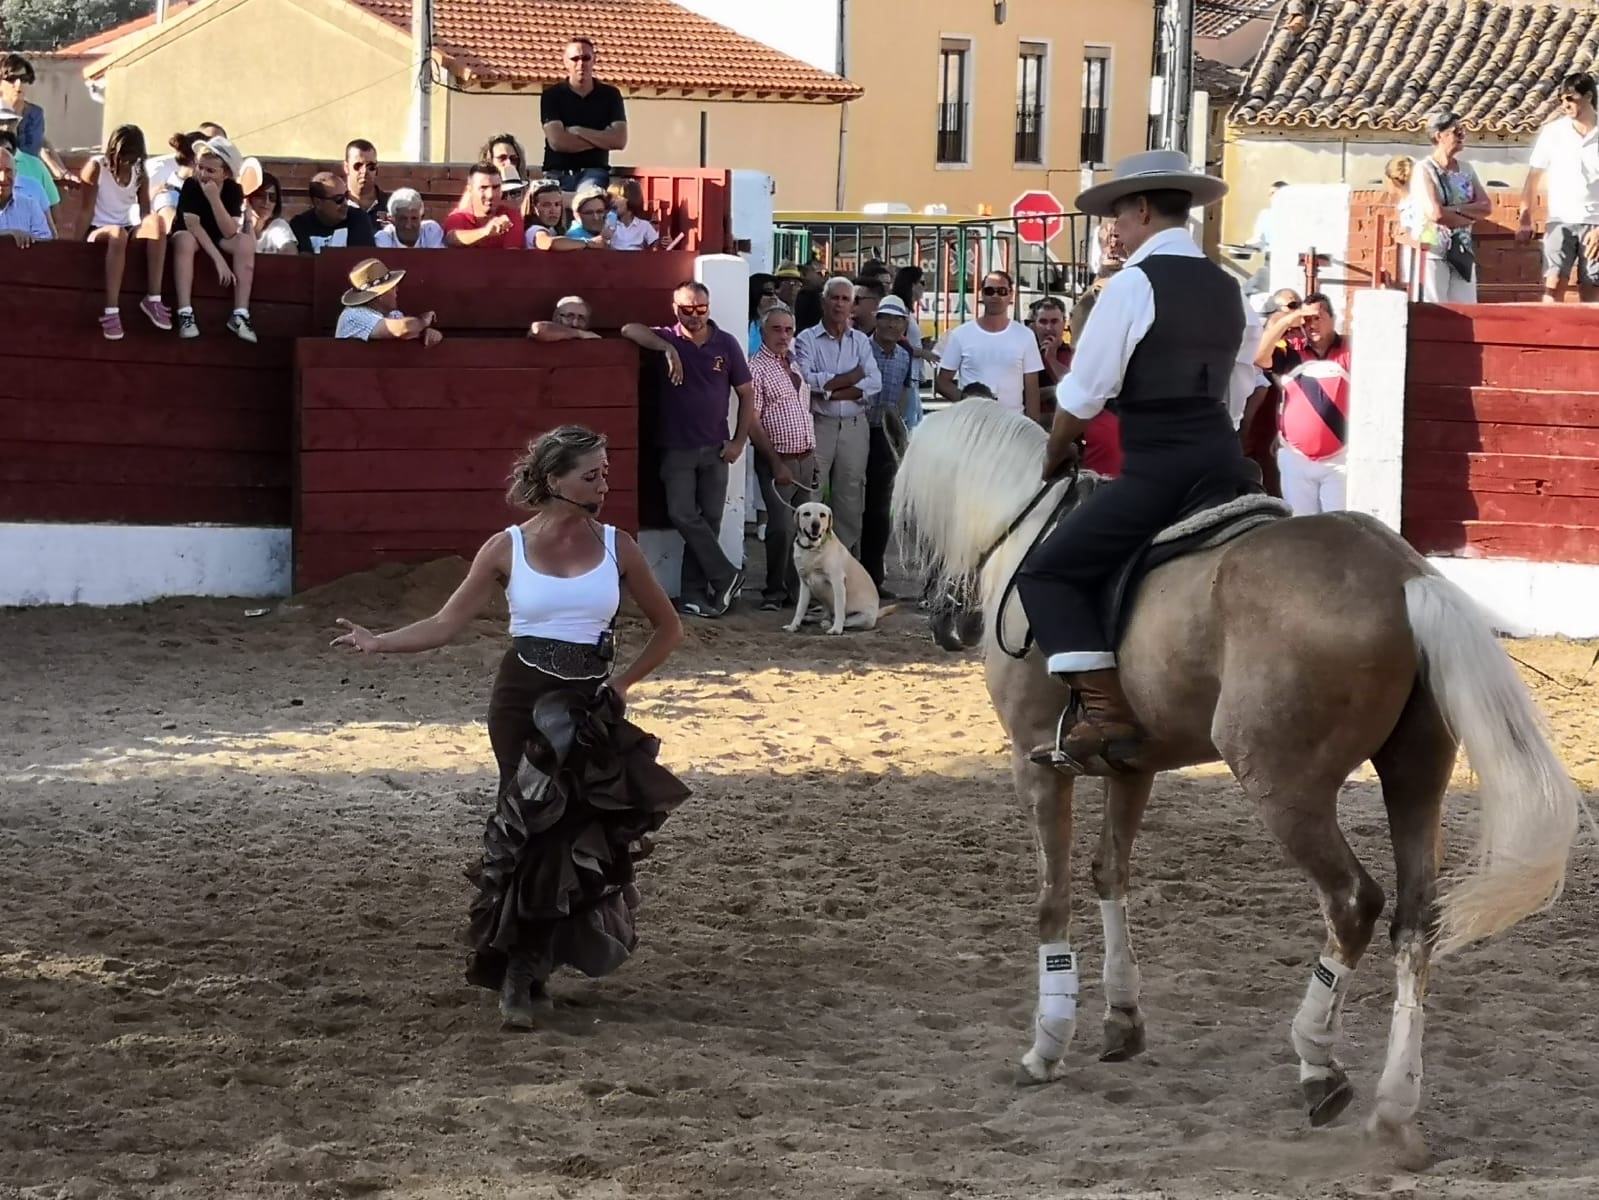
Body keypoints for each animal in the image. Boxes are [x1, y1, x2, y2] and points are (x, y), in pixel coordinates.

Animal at [789, 499, 901, 633]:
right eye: (806, 514)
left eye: (822, 515)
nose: (816, 525)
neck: (812, 549)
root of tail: (876, 614)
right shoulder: (805, 584)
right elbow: (800, 608)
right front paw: (793, 626)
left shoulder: (837, 582)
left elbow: (839, 609)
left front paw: (836, 629)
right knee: (825, 615)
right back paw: (813, 618)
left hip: (863, 617)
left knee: (843, 620)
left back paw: (828, 624)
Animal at [895, 401, 1579, 1164]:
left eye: (909, 527)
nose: (946, 624)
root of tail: (1401, 576)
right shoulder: (1131, 766)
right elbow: (1110, 873)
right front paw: (1121, 1018)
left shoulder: (1035, 763)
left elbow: (1052, 900)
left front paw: (1047, 1046)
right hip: (1414, 778)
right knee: (1413, 924)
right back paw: (1395, 1110)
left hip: (1281, 783)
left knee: (1351, 903)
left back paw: (1317, 1063)